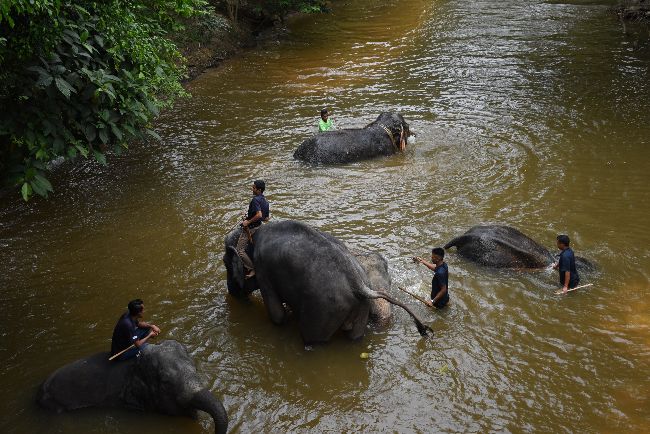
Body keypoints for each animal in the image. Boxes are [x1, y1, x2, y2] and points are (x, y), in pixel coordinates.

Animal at [223, 220, 430, 346]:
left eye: (226, 264)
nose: (233, 294)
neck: (250, 236)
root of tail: (358, 284)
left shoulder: (263, 270)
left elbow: (277, 316)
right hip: (359, 307)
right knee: (354, 338)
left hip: (323, 309)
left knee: (313, 339)